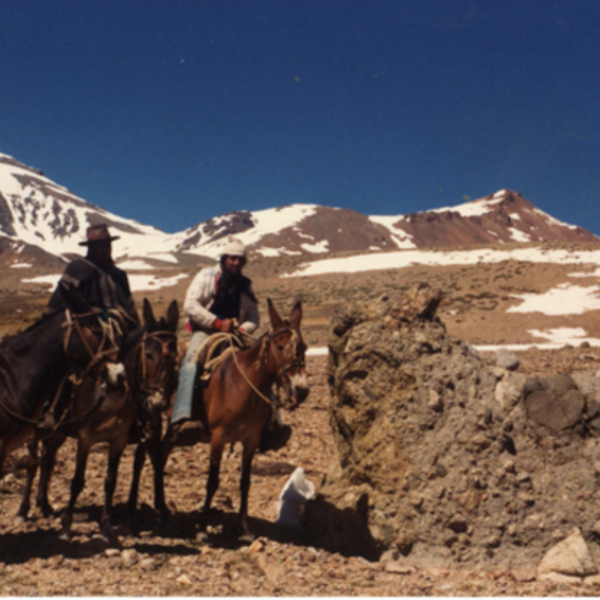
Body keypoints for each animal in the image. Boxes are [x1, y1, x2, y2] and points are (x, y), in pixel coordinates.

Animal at [16, 300, 178, 540]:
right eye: (148, 354)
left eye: (174, 356)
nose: (157, 401)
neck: (111, 394)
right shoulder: (86, 439)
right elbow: (77, 482)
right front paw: (67, 526)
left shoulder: (120, 440)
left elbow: (112, 480)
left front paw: (108, 524)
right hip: (34, 430)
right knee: (33, 463)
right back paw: (23, 509)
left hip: (58, 432)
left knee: (47, 459)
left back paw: (44, 504)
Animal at [155, 298, 308, 536]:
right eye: (281, 347)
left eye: (305, 348)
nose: (301, 390)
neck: (240, 385)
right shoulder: (218, 439)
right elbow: (212, 481)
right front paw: (202, 527)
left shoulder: (251, 440)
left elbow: (245, 481)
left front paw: (243, 527)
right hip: (170, 425)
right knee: (160, 456)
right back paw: (161, 508)